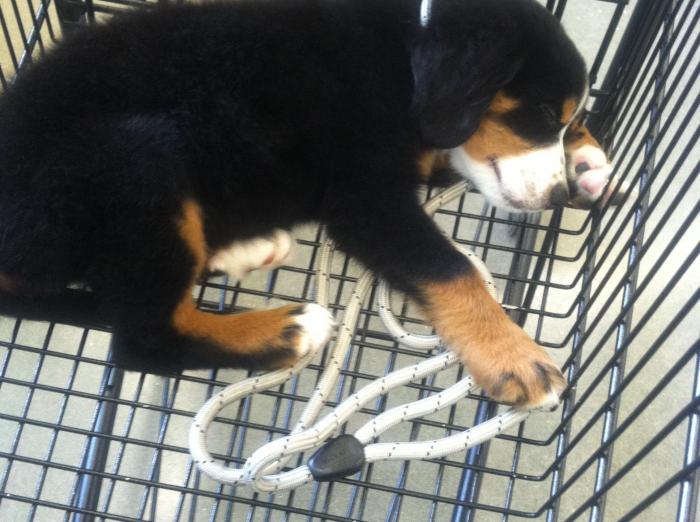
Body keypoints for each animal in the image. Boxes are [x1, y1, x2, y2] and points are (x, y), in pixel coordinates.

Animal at [0, 0, 613, 410]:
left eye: (564, 118)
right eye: (539, 114)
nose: (557, 195)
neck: (404, 54)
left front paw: (587, 160)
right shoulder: (366, 201)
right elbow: (452, 270)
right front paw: (514, 355)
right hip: (133, 158)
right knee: (142, 336)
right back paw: (284, 330)